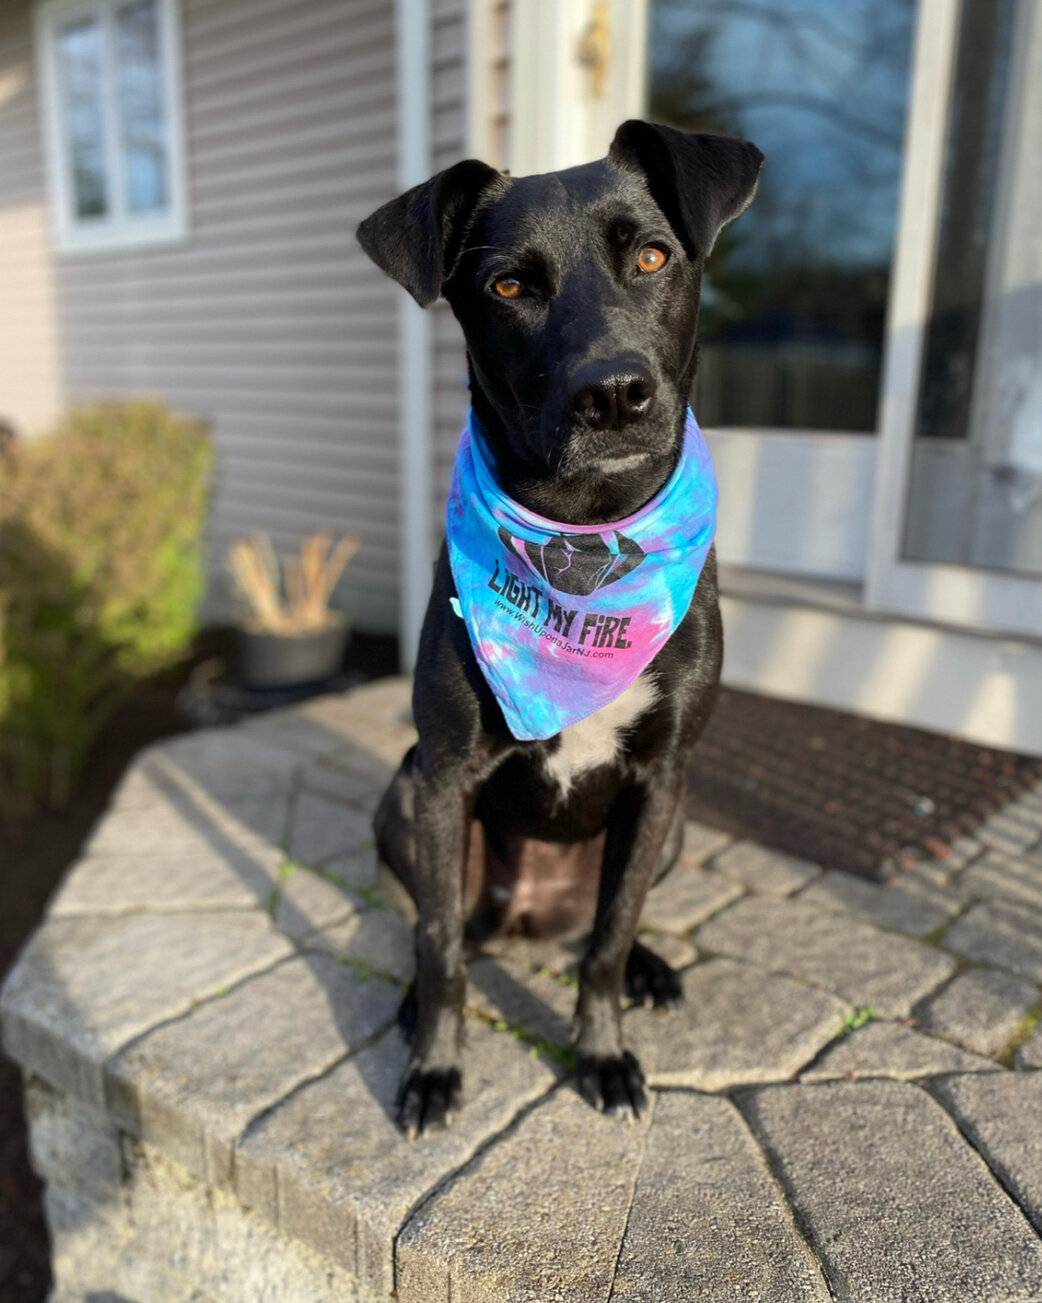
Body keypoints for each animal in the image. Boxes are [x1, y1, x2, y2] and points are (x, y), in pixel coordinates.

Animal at [362, 124, 760, 1141]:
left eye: (652, 256)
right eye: (508, 285)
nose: (612, 394)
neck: (587, 528)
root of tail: (533, 914)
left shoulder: (661, 778)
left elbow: (610, 941)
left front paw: (603, 1051)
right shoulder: (443, 775)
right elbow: (439, 951)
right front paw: (434, 1069)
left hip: (676, 822)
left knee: (605, 921)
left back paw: (652, 966)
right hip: (402, 797)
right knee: (443, 931)